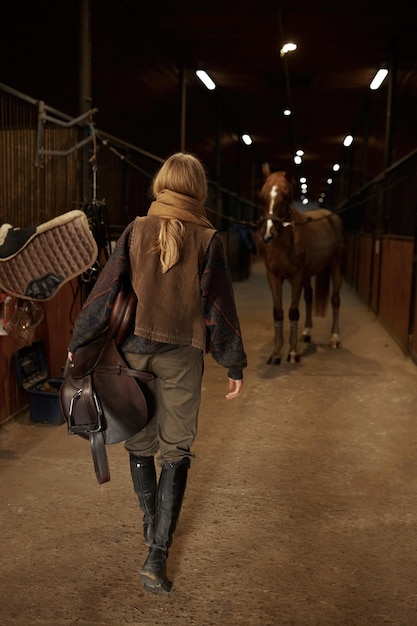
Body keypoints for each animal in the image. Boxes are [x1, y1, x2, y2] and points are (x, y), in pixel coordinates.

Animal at [256, 166, 344, 364]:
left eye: (286, 196)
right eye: (262, 196)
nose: (267, 234)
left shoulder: (296, 277)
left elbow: (293, 312)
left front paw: (293, 353)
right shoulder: (273, 277)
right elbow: (278, 312)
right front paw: (276, 354)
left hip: (335, 266)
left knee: (335, 300)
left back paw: (334, 338)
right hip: (308, 275)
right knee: (310, 297)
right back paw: (307, 333)